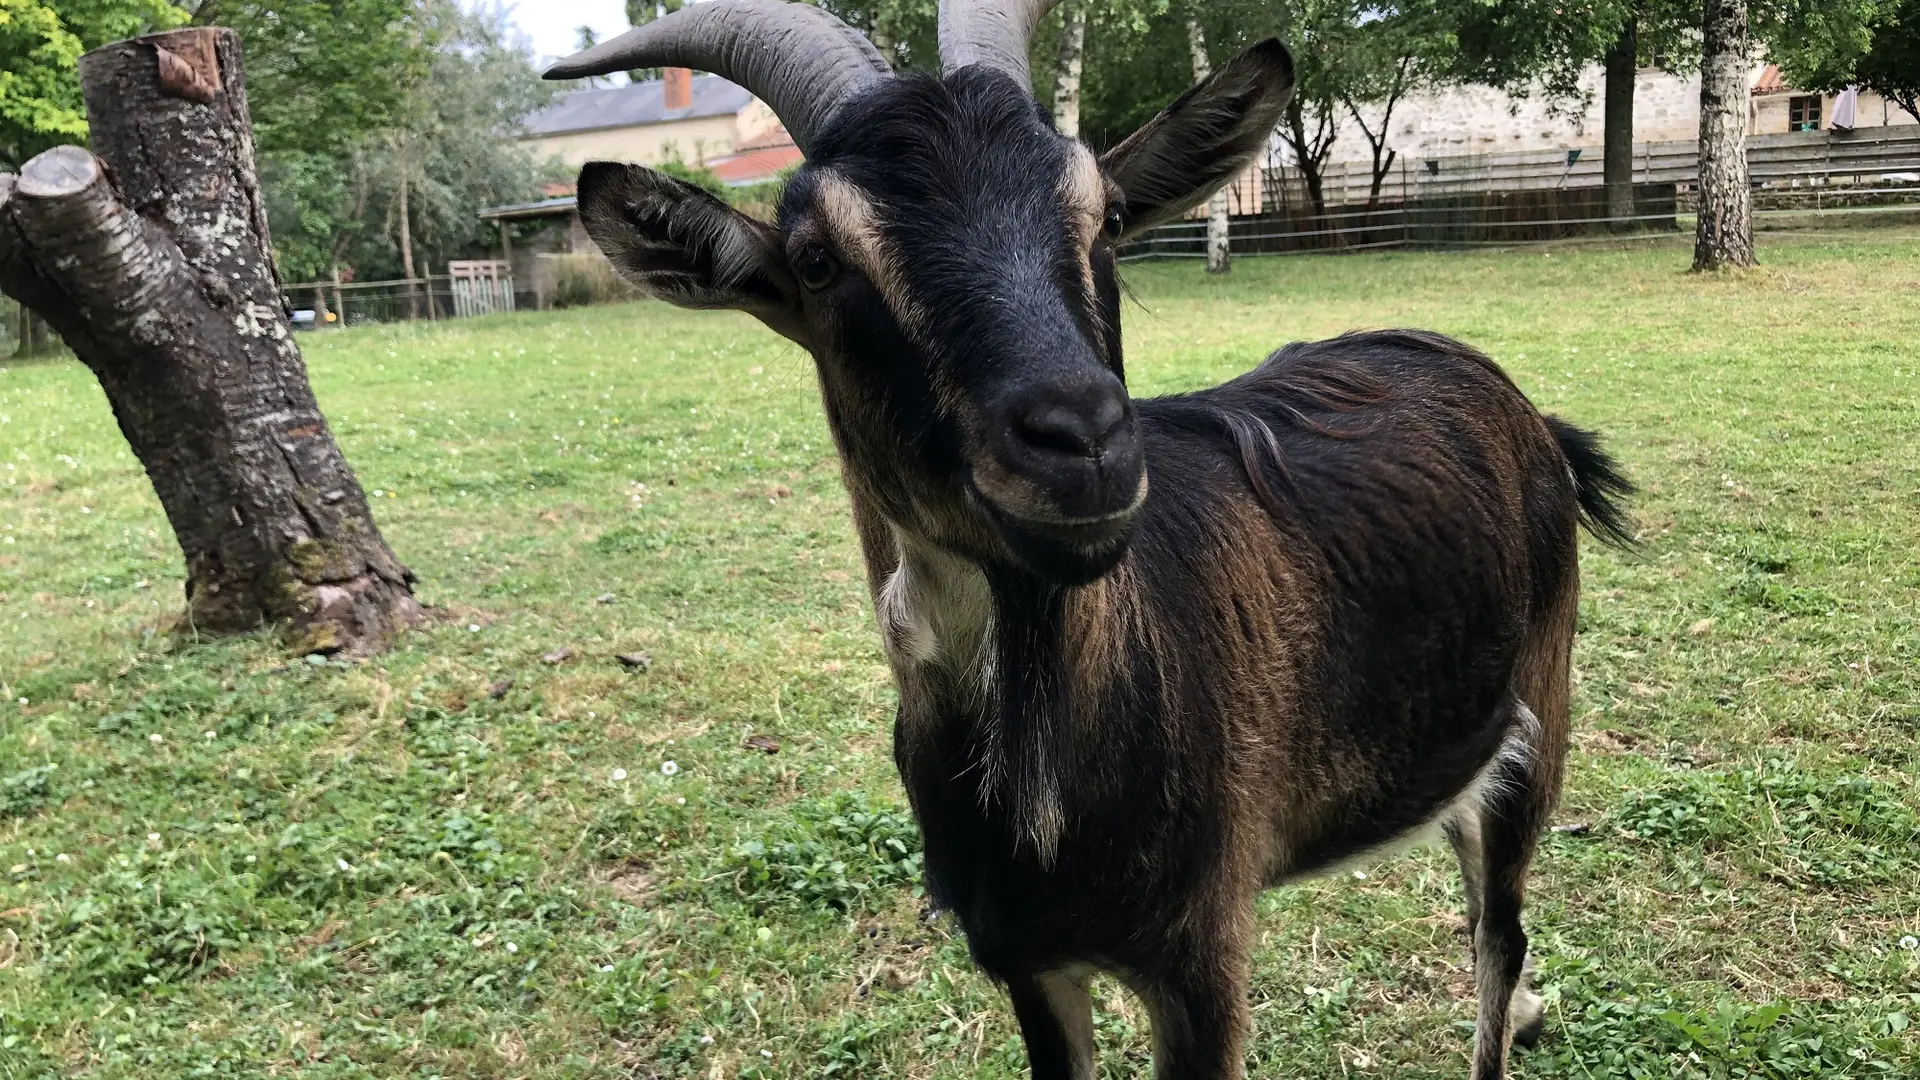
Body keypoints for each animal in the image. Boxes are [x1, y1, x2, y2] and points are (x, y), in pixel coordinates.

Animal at [549, 4, 1628, 1068]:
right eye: (817, 261)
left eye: (1103, 215)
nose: (1085, 441)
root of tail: (1523, 409)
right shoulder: (1025, 960)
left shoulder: (1202, 961)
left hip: (1541, 712)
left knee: (1498, 929)